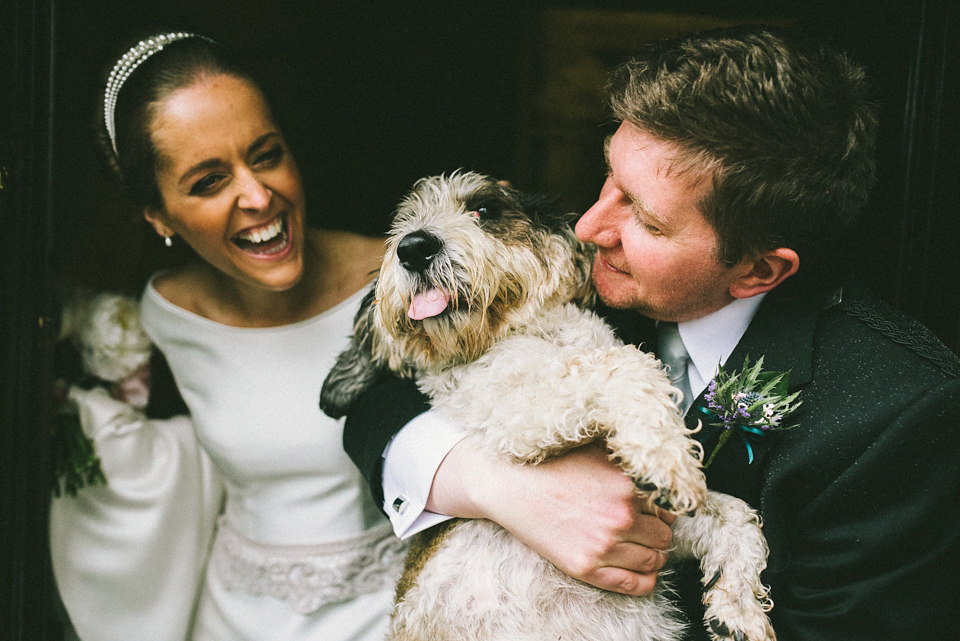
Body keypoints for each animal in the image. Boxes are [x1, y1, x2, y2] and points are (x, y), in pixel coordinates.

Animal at [322, 171, 772, 640]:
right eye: (402, 224)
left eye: (484, 210)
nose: (413, 247)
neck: (539, 334)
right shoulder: (515, 413)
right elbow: (625, 366)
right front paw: (668, 461)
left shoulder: (659, 527)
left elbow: (737, 516)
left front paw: (738, 611)